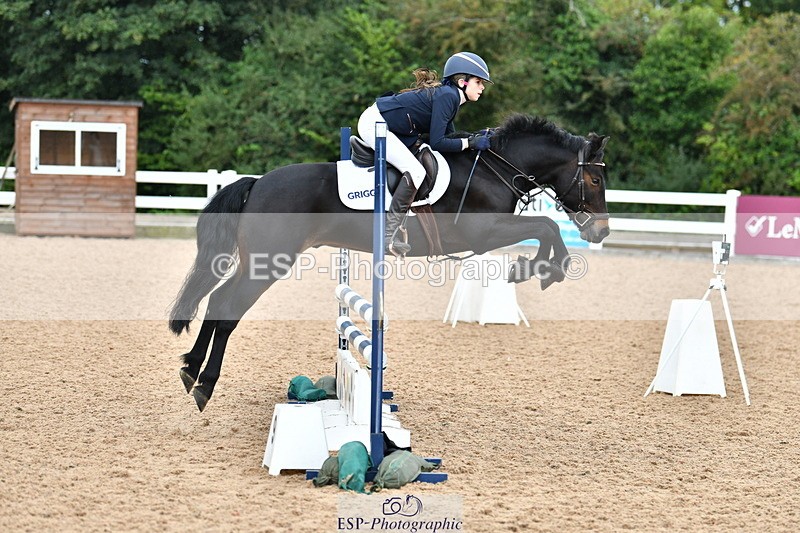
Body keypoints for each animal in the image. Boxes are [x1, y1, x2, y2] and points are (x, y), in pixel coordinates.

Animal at [169, 113, 611, 411]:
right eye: (594, 180)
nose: (601, 232)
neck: (494, 169)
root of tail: (258, 182)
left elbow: (545, 228)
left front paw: (534, 268)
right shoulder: (483, 233)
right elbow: (546, 226)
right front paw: (541, 269)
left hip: (258, 261)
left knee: (216, 299)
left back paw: (190, 368)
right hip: (270, 260)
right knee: (227, 307)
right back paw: (205, 383)